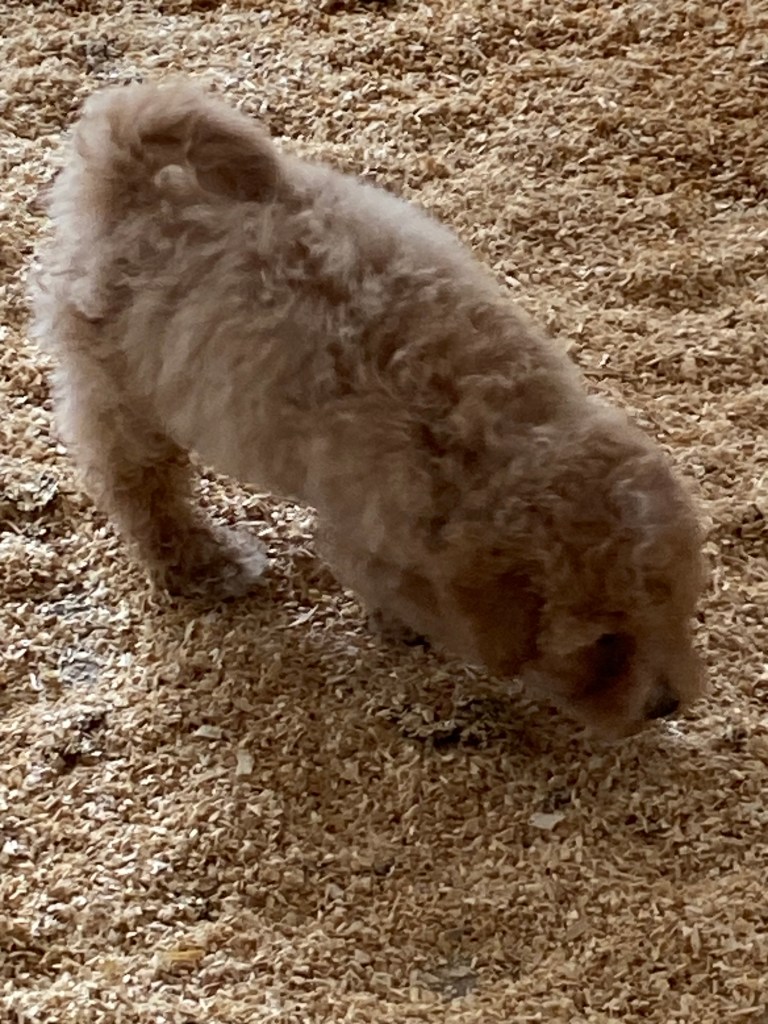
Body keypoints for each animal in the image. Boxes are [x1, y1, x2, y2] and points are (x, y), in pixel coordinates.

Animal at [31, 81, 705, 738]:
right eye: (601, 646)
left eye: (676, 605)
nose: (666, 705)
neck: (489, 433)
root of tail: (128, 172)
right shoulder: (374, 536)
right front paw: (404, 629)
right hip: (120, 391)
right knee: (139, 487)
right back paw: (202, 563)